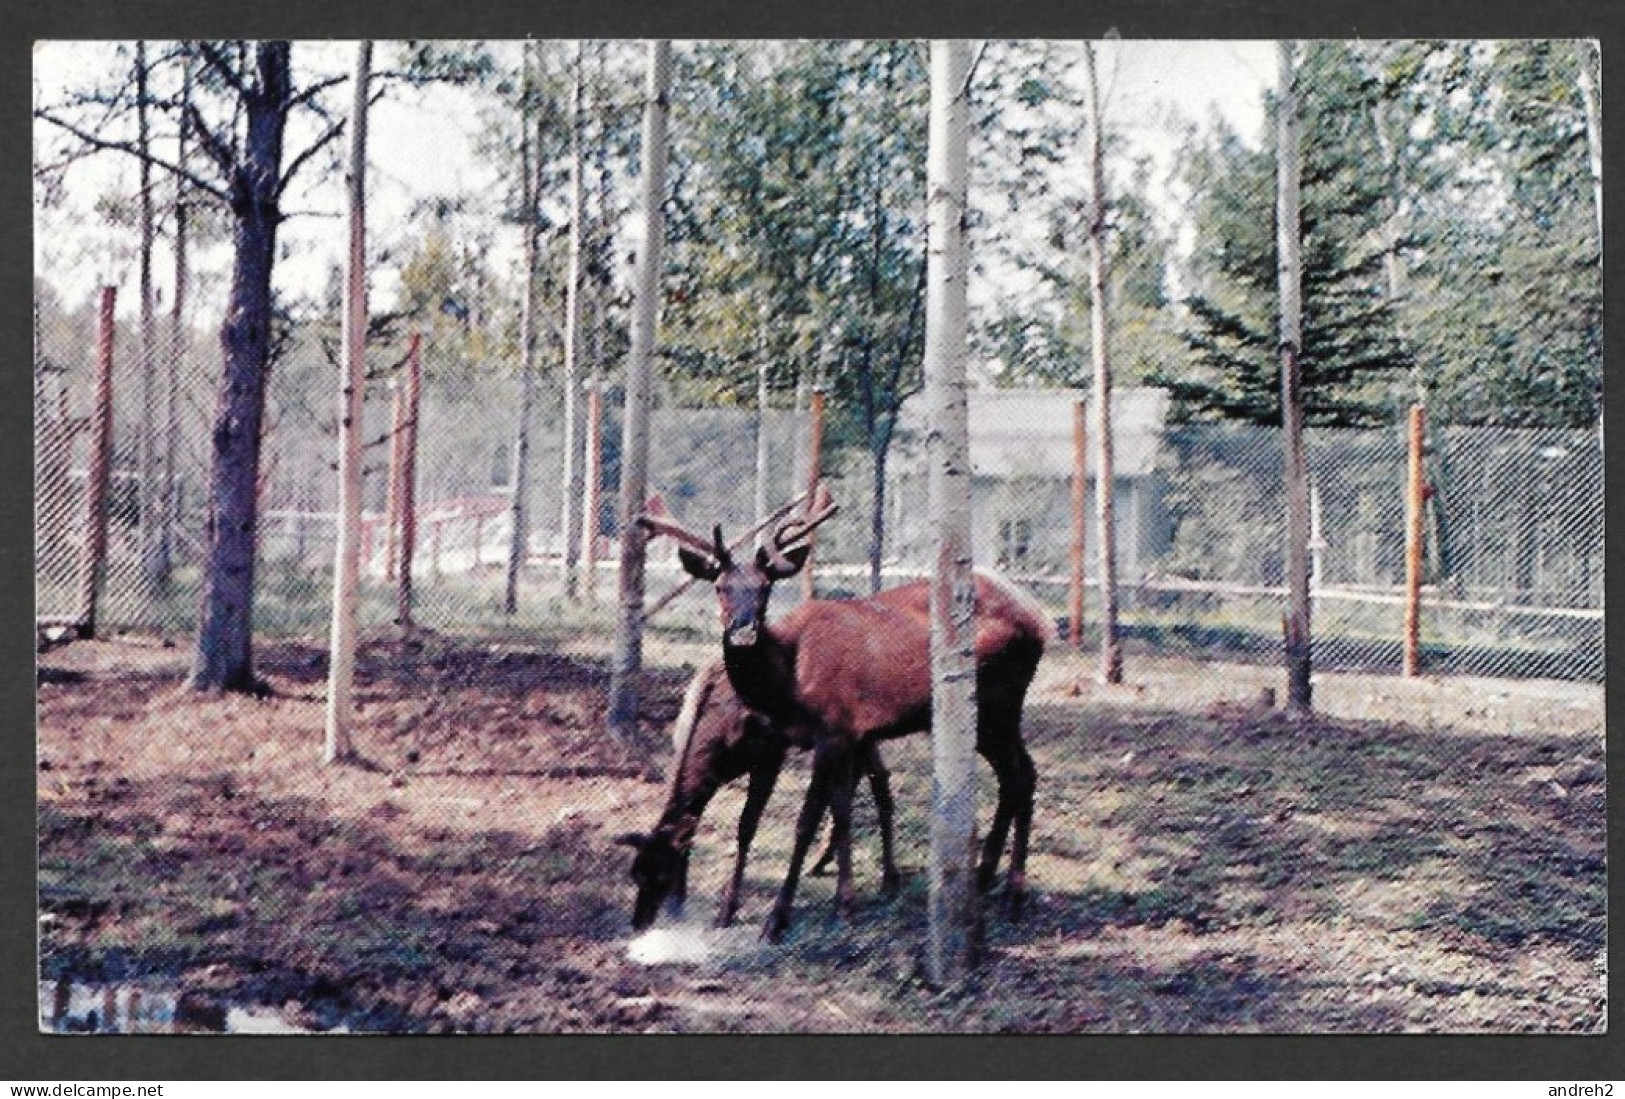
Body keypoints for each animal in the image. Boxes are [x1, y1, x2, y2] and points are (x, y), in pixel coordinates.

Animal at [617, 656, 903, 929]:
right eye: (635, 873)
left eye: (662, 875)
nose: (639, 922)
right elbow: (693, 827)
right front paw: (679, 904)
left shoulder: (770, 754)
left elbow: (746, 826)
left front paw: (727, 910)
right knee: (858, 782)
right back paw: (823, 862)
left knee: (875, 781)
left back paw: (888, 882)